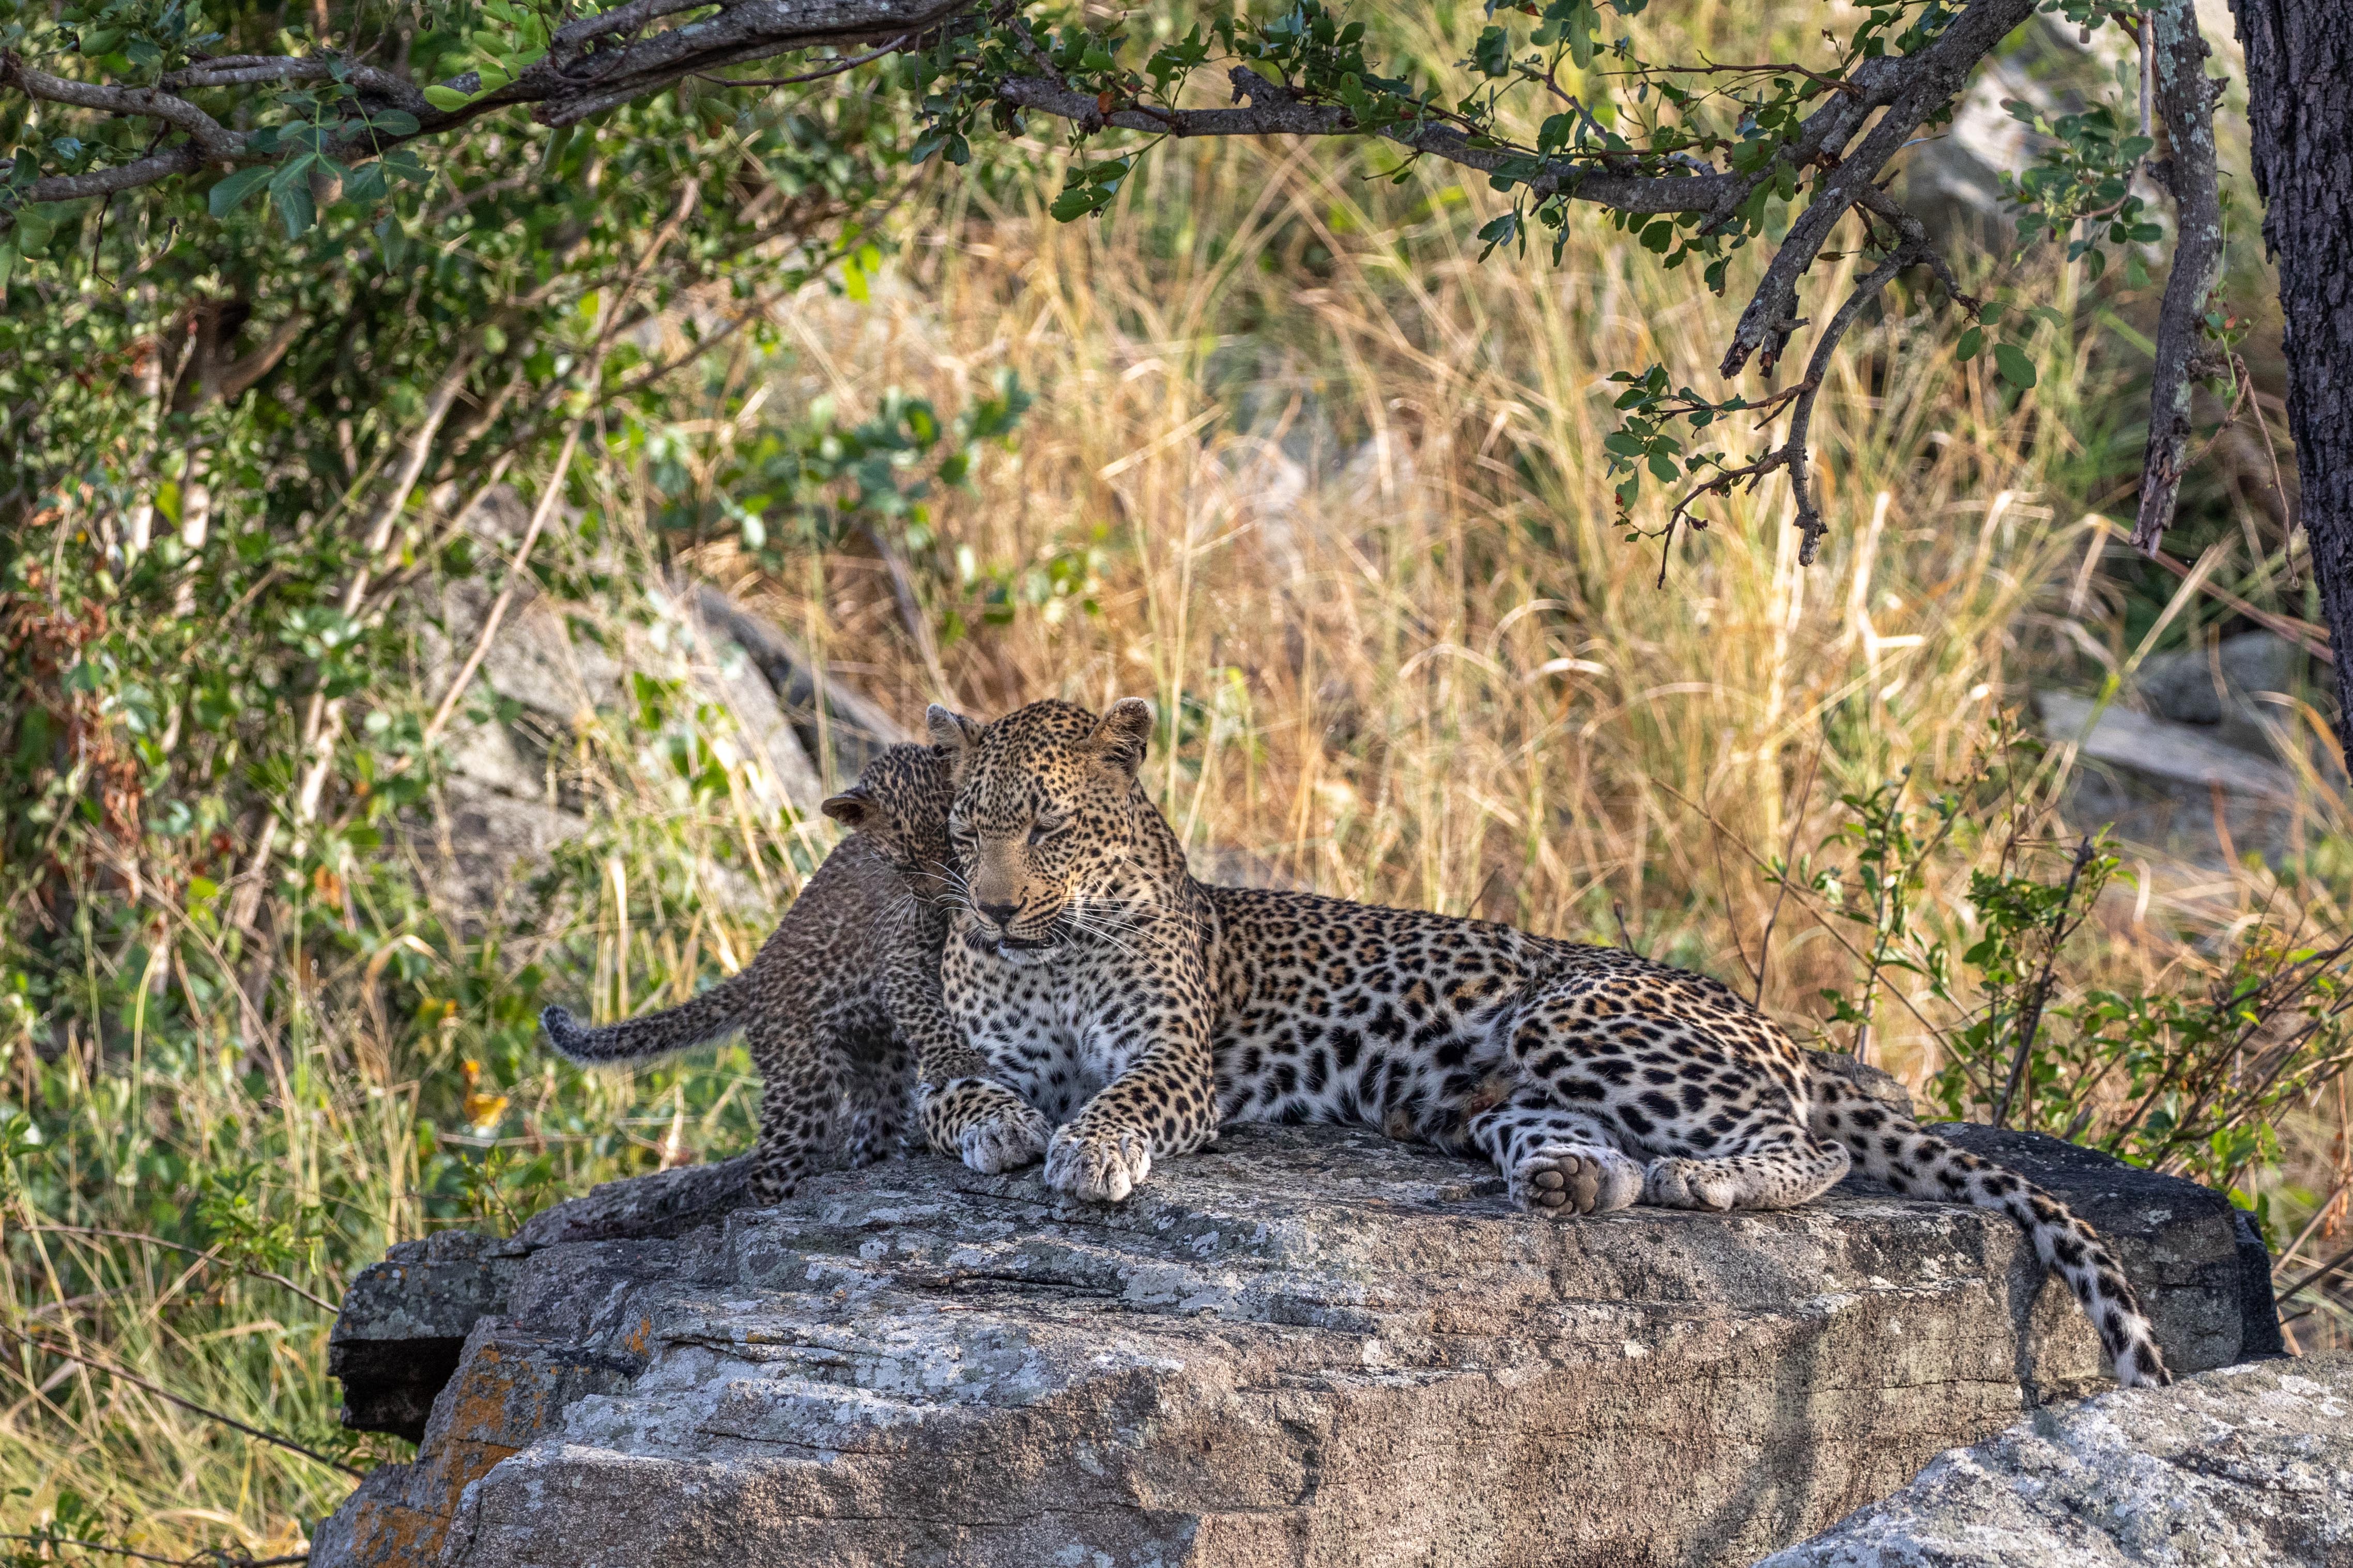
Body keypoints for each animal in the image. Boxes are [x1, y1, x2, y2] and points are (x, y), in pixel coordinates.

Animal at [540, 742, 998, 1203]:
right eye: (905, 865)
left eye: (951, 848)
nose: (943, 900)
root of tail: (754, 974)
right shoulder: (900, 956)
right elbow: (927, 1018)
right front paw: (957, 1060)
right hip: (803, 1076)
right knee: (770, 1168)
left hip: (880, 1061)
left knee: (873, 1125)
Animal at [921, 696, 2171, 1388]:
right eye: (966, 829)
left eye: (1045, 826)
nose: (988, 908)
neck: (1056, 946)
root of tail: (1767, 1018)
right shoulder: (951, 1058)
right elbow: (959, 1093)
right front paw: (1007, 1128)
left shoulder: (1174, 1064)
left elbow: (1122, 1098)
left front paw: (1088, 1147)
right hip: (1495, 1089)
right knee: (1587, 1149)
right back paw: (1571, 1181)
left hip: (1575, 1016)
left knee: (1807, 1144)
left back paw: (1707, 1181)